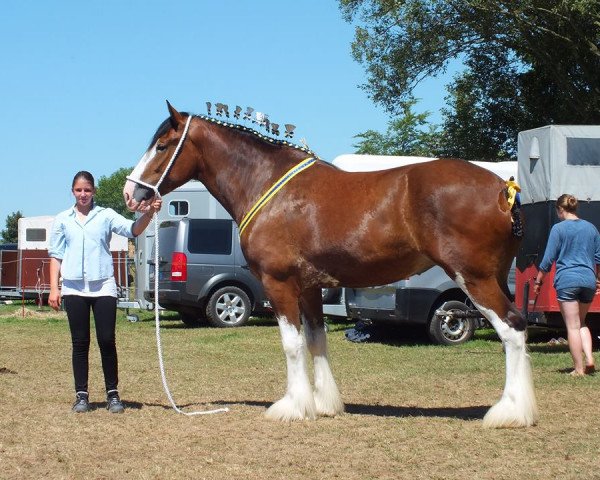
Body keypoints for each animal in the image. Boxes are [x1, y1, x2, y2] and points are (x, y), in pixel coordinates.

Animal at [122, 102, 540, 428]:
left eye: (162, 145)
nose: (130, 192)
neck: (267, 185)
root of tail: (504, 190)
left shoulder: (280, 283)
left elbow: (292, 344)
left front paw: (292, 406)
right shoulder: (309, 287)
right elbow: (316, 340)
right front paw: (324, 404)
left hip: (475, 278)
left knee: (512, 328)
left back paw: (509, 413)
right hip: (494, 277)